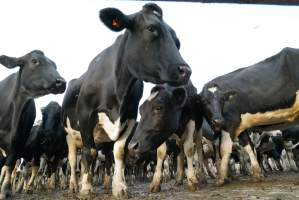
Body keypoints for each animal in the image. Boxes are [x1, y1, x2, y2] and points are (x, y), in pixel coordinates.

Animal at [0, 50, 66, 198]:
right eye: (34, 61)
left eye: (55, 65)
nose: (61, 82)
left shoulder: (19, 143)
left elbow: (10, 166)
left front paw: (5, 190)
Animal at [62, 3, 192, 198]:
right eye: (151, 29)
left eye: (177, 41)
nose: (185, 71)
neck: (117, 91)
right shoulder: (85, 116)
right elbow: (89, 153)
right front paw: (86, 189)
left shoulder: (129, 117)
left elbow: (119, 153)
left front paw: (119, 187)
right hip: (69, 135)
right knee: (72, 159)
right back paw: (74, 185)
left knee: (106, 158)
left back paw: (105, 183)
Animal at [197, 47, 299, 186]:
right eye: (204, 101)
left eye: (223, 100)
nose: (218, 120)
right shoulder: (240, 127)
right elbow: (249, 147)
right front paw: (257, 174)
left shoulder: (230, 123)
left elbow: (225, 149)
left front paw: (221, 178)